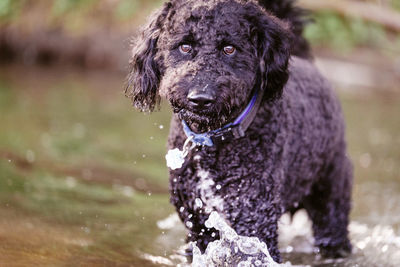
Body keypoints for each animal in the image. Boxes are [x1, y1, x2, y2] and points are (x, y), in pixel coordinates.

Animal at [126, 0, 352, 264]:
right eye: (184, 46)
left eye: (229, 49)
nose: (200, 98)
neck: (212, 142)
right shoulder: (199, 223)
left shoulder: (254, 221)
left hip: (331, 200)